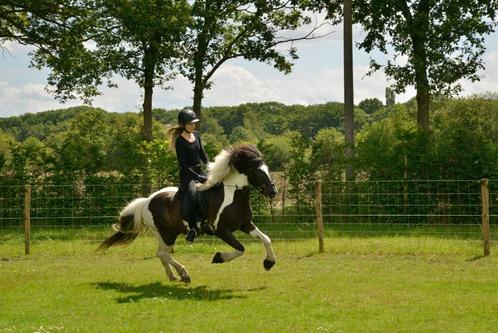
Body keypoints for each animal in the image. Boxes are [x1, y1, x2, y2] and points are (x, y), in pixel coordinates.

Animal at [96, 144, 276, 282]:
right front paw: (218, 258)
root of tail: (146, 201)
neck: (233, 196)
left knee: (161, 254)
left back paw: (174, 276)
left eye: (267, 169)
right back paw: (184, 274)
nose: (273, 192)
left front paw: (269, 263)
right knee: (163, 254)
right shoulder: (221, 231)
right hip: (167, 234)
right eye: (257, 171)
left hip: (165, 234)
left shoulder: (245, 224)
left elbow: (266, 239)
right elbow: (240, 248)